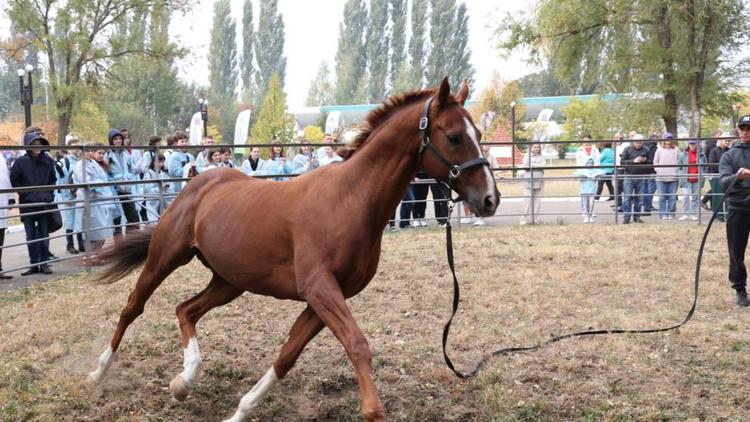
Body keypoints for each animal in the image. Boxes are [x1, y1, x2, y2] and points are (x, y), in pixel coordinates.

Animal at [88, 77, 500, 420]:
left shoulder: (325, 297)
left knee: (185, 309)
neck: (350, 199)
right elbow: (357, 345)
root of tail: (199, 182)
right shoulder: (320, 288)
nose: (490, 199)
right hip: (165, 258)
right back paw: (98, 373)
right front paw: (374, 411)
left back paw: (183, 380)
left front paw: (240, 412)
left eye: (478, 132)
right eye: (454, 137)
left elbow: (287, 356)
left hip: (229, 280)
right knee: (133, 307)